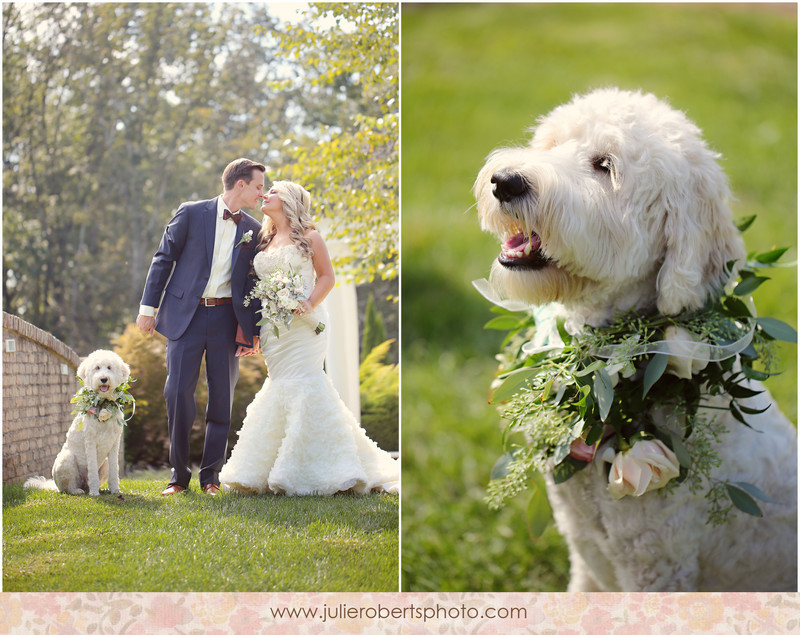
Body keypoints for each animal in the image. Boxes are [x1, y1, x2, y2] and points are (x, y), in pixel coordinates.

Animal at [25, 352, 134, 496]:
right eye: (97, 367)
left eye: (109, 367)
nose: (104, 379)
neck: (103, 404)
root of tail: (55, 486)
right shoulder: (90, 442)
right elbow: (92, 471)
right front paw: (94, 493)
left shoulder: (114, 444)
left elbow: (114, 470)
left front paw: (115, 490)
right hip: (66, 459)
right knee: (67, 488)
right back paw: (78, 490)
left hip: (104, 463)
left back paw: (102, 489)